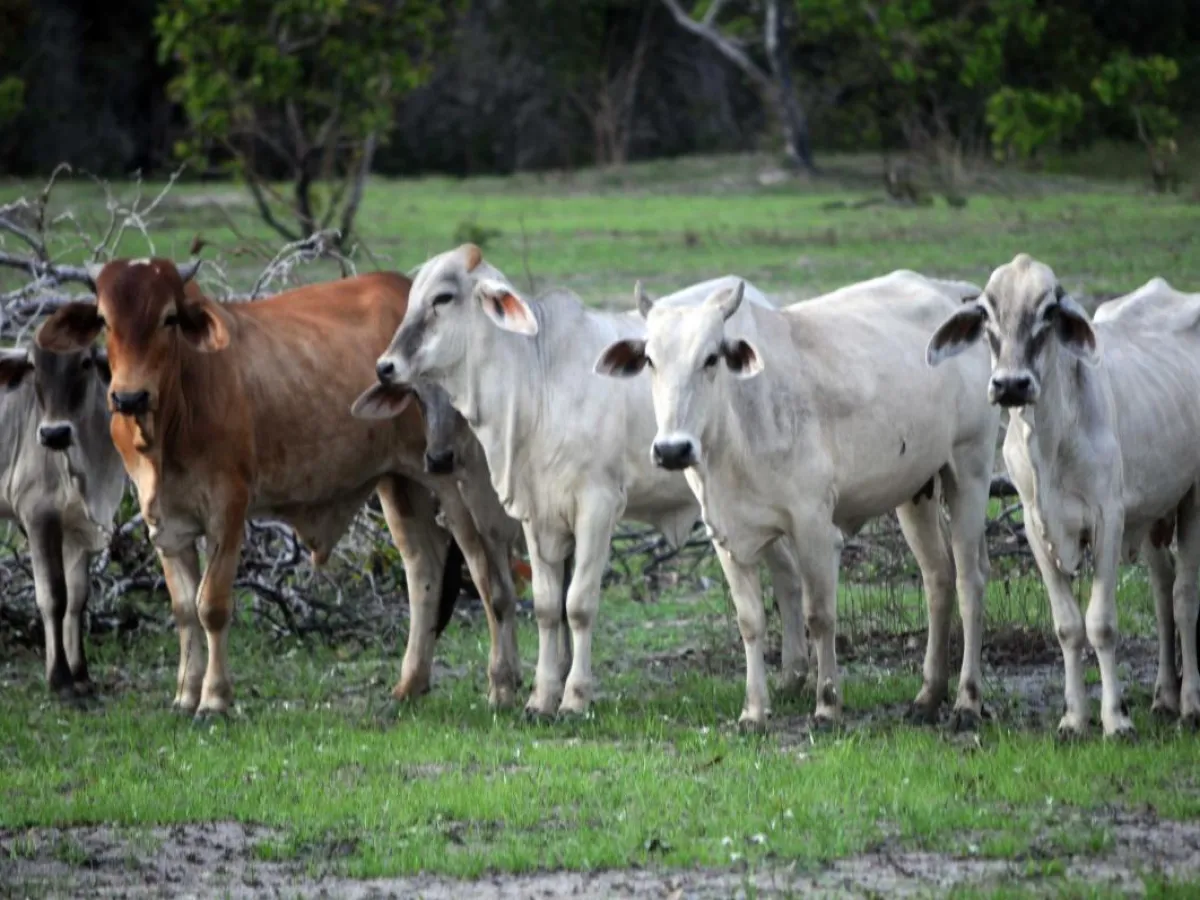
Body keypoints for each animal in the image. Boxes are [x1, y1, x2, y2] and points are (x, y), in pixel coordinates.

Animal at [0, 341, 125, 698]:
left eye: (84, 362)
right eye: (33, 365)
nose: (54, 433)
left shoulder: (78, 528)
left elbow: (77, 598)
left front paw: (81, 673)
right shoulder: (39, 516)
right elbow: (54, 595)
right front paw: (60, 678)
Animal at [35, 259, 523, 717]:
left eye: (168, 317)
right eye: (104, 319)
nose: (128, 397)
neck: (174, 412)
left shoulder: (228, 509)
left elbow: (212, 605)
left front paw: (214, 699)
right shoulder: (165, 523)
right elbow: (184, 610)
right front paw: (185, 694)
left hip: (454, 482)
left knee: (487, 577)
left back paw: (502, 686)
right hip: (400, 482)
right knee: (424, 566)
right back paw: (410, 684)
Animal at [366, 244, 811, 720]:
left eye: (443, 298)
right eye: (413, 297)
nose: (385, 366)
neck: (536, 382)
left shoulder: (597, 507)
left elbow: (577, 605)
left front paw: (574, 696)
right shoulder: (536, 516)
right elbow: (546, 608)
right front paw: (540, 697)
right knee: (787, 574)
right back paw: (792, 676)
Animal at [597, 271, 1000, 730]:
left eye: (712, 358)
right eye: (650, 361)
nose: (672, 449)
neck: (738, 426)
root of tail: (955, 292)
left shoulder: (814, 528)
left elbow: (819, 615)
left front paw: (827, 704)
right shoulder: (725, 535)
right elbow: (750, 620)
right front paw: (754, 710)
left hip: (970, 468)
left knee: (970, 580)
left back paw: (967, 701)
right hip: (917, 489)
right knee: (938, 577)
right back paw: (929, 694)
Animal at [927, 253, 1200, 737]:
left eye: (1049, 312)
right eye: (986, 313)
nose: (1011, 385)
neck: (1051, 442)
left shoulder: (1109, 518)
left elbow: (1102, 624)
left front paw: (1116, 719)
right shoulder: (1038, 527)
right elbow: (1069, 626)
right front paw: (1074, 717)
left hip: (1193, 494)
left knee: (1186, 597)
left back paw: (1189, 703)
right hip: (1151, 511)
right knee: (1163, 589)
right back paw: (1164, 696)